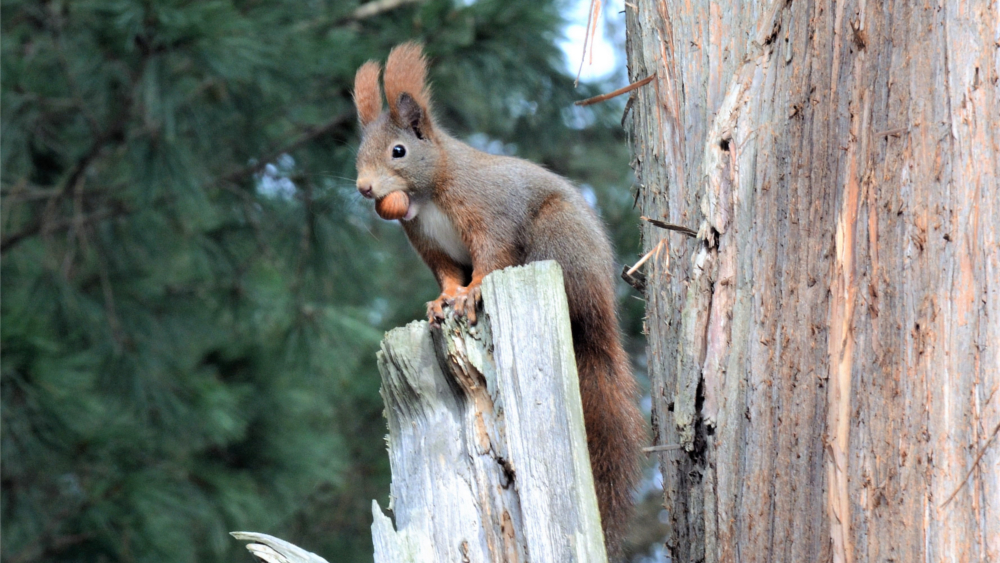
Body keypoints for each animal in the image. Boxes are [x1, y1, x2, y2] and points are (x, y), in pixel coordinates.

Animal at [356, 43, 644, 556]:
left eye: (398, 151)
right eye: (358, 153)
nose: (364, 188)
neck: (429, 192)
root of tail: (600, 315)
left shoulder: (488, 218)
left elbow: (490, 258)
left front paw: (470, 297)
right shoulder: (430, 246)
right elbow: (448, 275)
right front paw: (443, 301)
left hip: (558, 241)